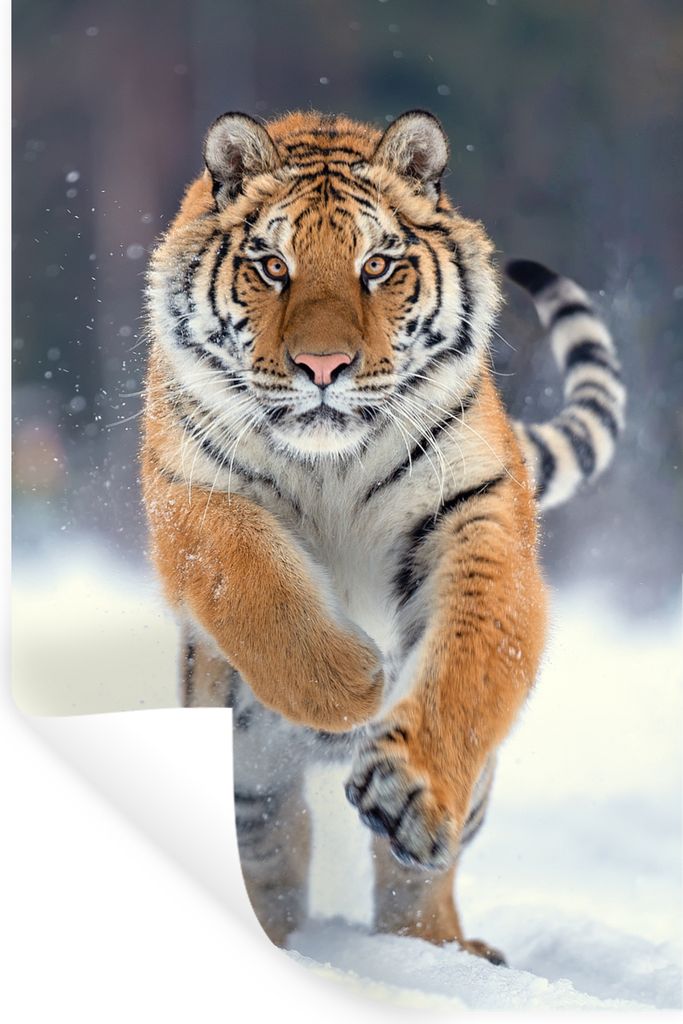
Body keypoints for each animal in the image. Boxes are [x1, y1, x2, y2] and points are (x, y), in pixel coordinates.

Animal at [141, 109, 625, 963]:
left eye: (377, 265)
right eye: (271, 265)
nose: (322, 366)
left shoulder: (475, 513)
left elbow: (471, 660)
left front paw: (409, 786)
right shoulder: (192, 492)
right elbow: (254, 584)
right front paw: (353, 683)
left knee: (413, 878)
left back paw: (441, 950)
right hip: (242, 772)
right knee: (274, 847)